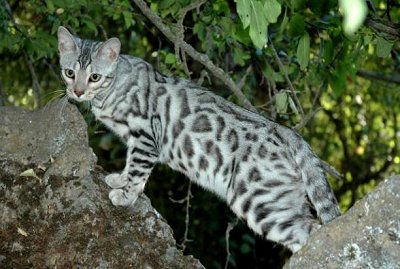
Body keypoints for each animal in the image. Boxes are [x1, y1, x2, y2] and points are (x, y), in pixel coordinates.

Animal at [57, 26, 340, 251]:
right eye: (69, 73)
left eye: (94, 77)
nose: (77, 92)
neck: (109, 91)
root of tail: (286, 131)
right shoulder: (135, 140)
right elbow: (130, 165)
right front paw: (120, 179)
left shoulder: (146, 137)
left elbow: (138, 172)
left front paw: (126, 196)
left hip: (259, 199)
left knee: (311, 230)